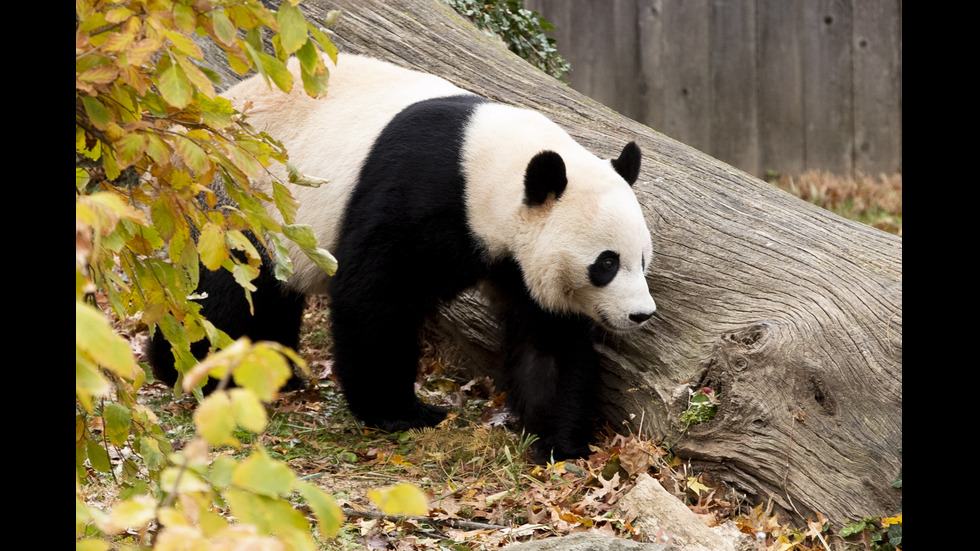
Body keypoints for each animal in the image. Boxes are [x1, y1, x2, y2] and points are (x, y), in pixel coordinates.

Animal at [149, 55, 660, 462]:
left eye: (642, 260)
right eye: (606, 263)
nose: (641, 315)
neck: (491, 168)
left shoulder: (516, 257)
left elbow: (548, 337)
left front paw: (560, 443)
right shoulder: (423, 189)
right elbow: (374, 296)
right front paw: (403, 413)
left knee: (272, 290)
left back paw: (279, 372)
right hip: (237, 194)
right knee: (228, 290)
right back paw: (194, 370)